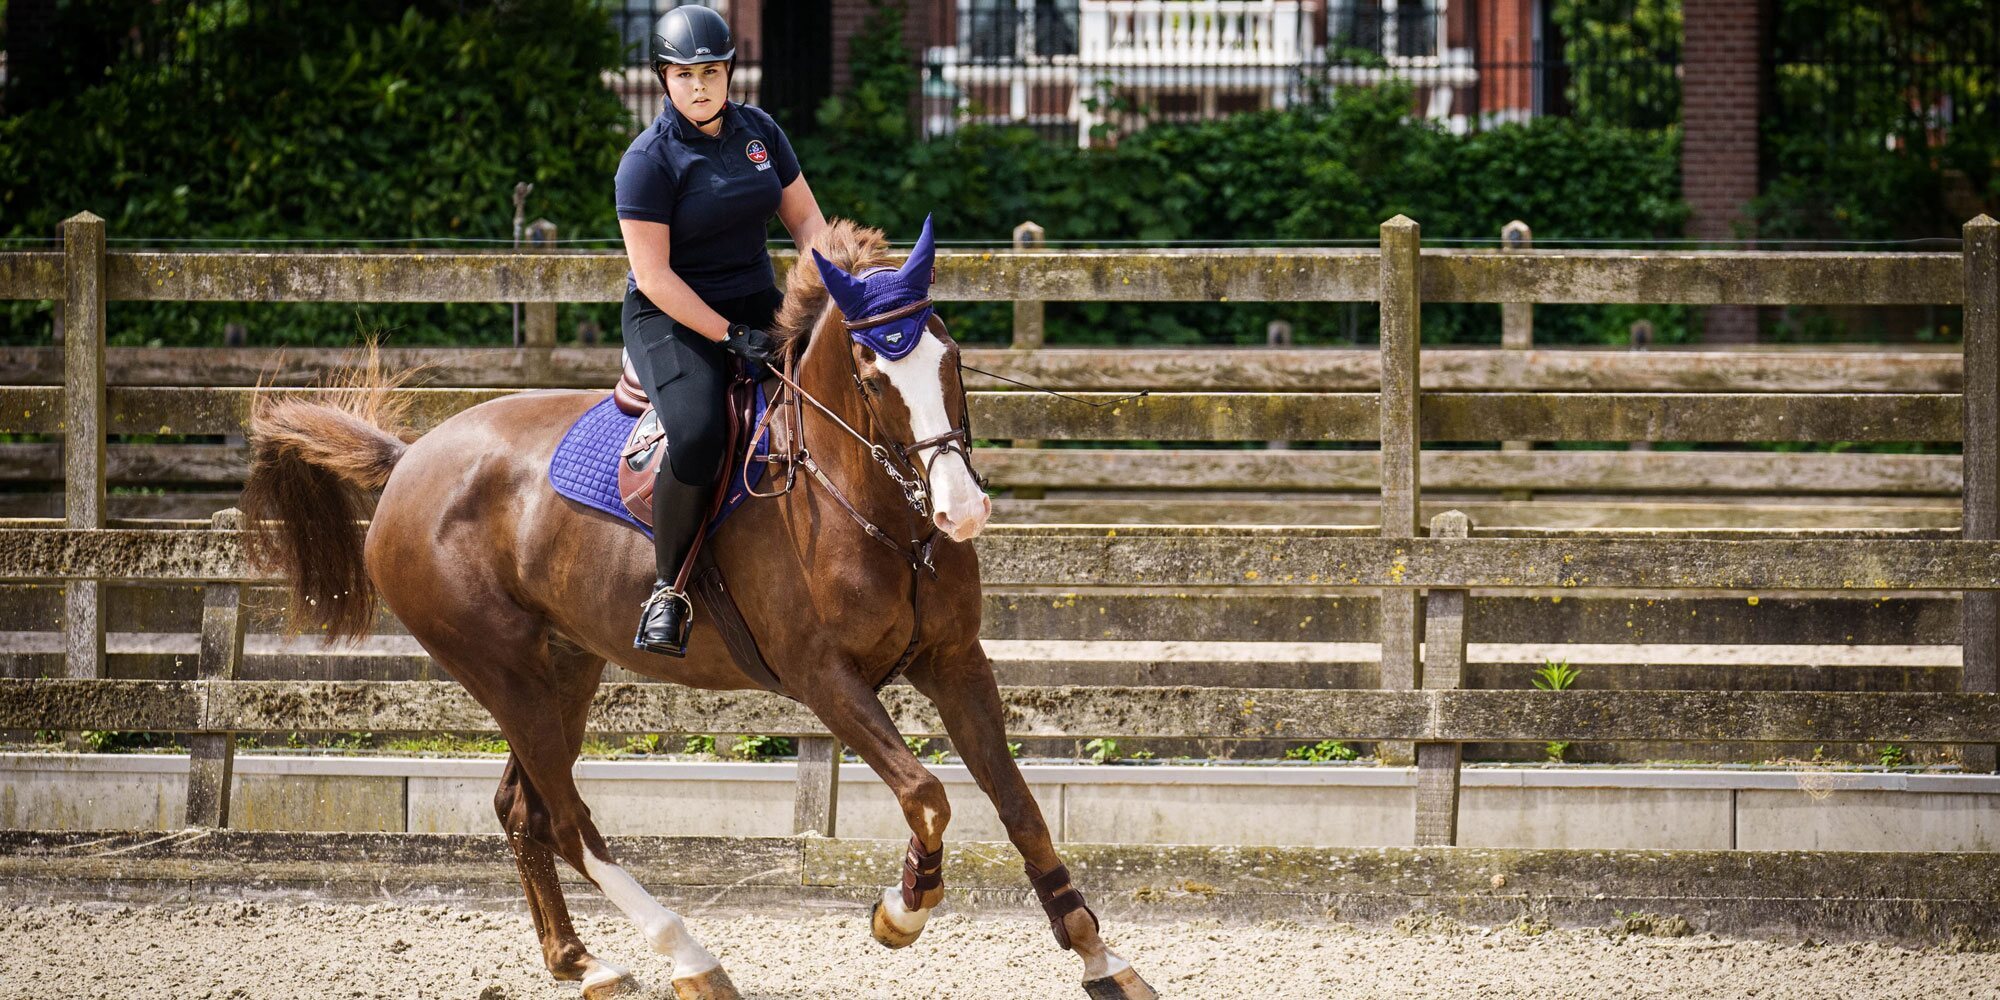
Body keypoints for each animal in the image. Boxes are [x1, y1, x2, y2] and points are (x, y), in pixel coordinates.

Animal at [238, 221, 1160, 1000]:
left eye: (952, 356)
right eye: (870, 376)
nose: (962, 510)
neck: (872, 509)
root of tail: (407, 463)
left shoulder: (956, 662)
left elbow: (1020, 807)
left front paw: (1101, 958)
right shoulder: (823, 678)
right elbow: (928, 794)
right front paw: (901, 910)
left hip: (562, 667)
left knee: (523, 808)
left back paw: (583, 964)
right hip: (499, 668)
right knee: (566, 818)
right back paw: (689, 957)